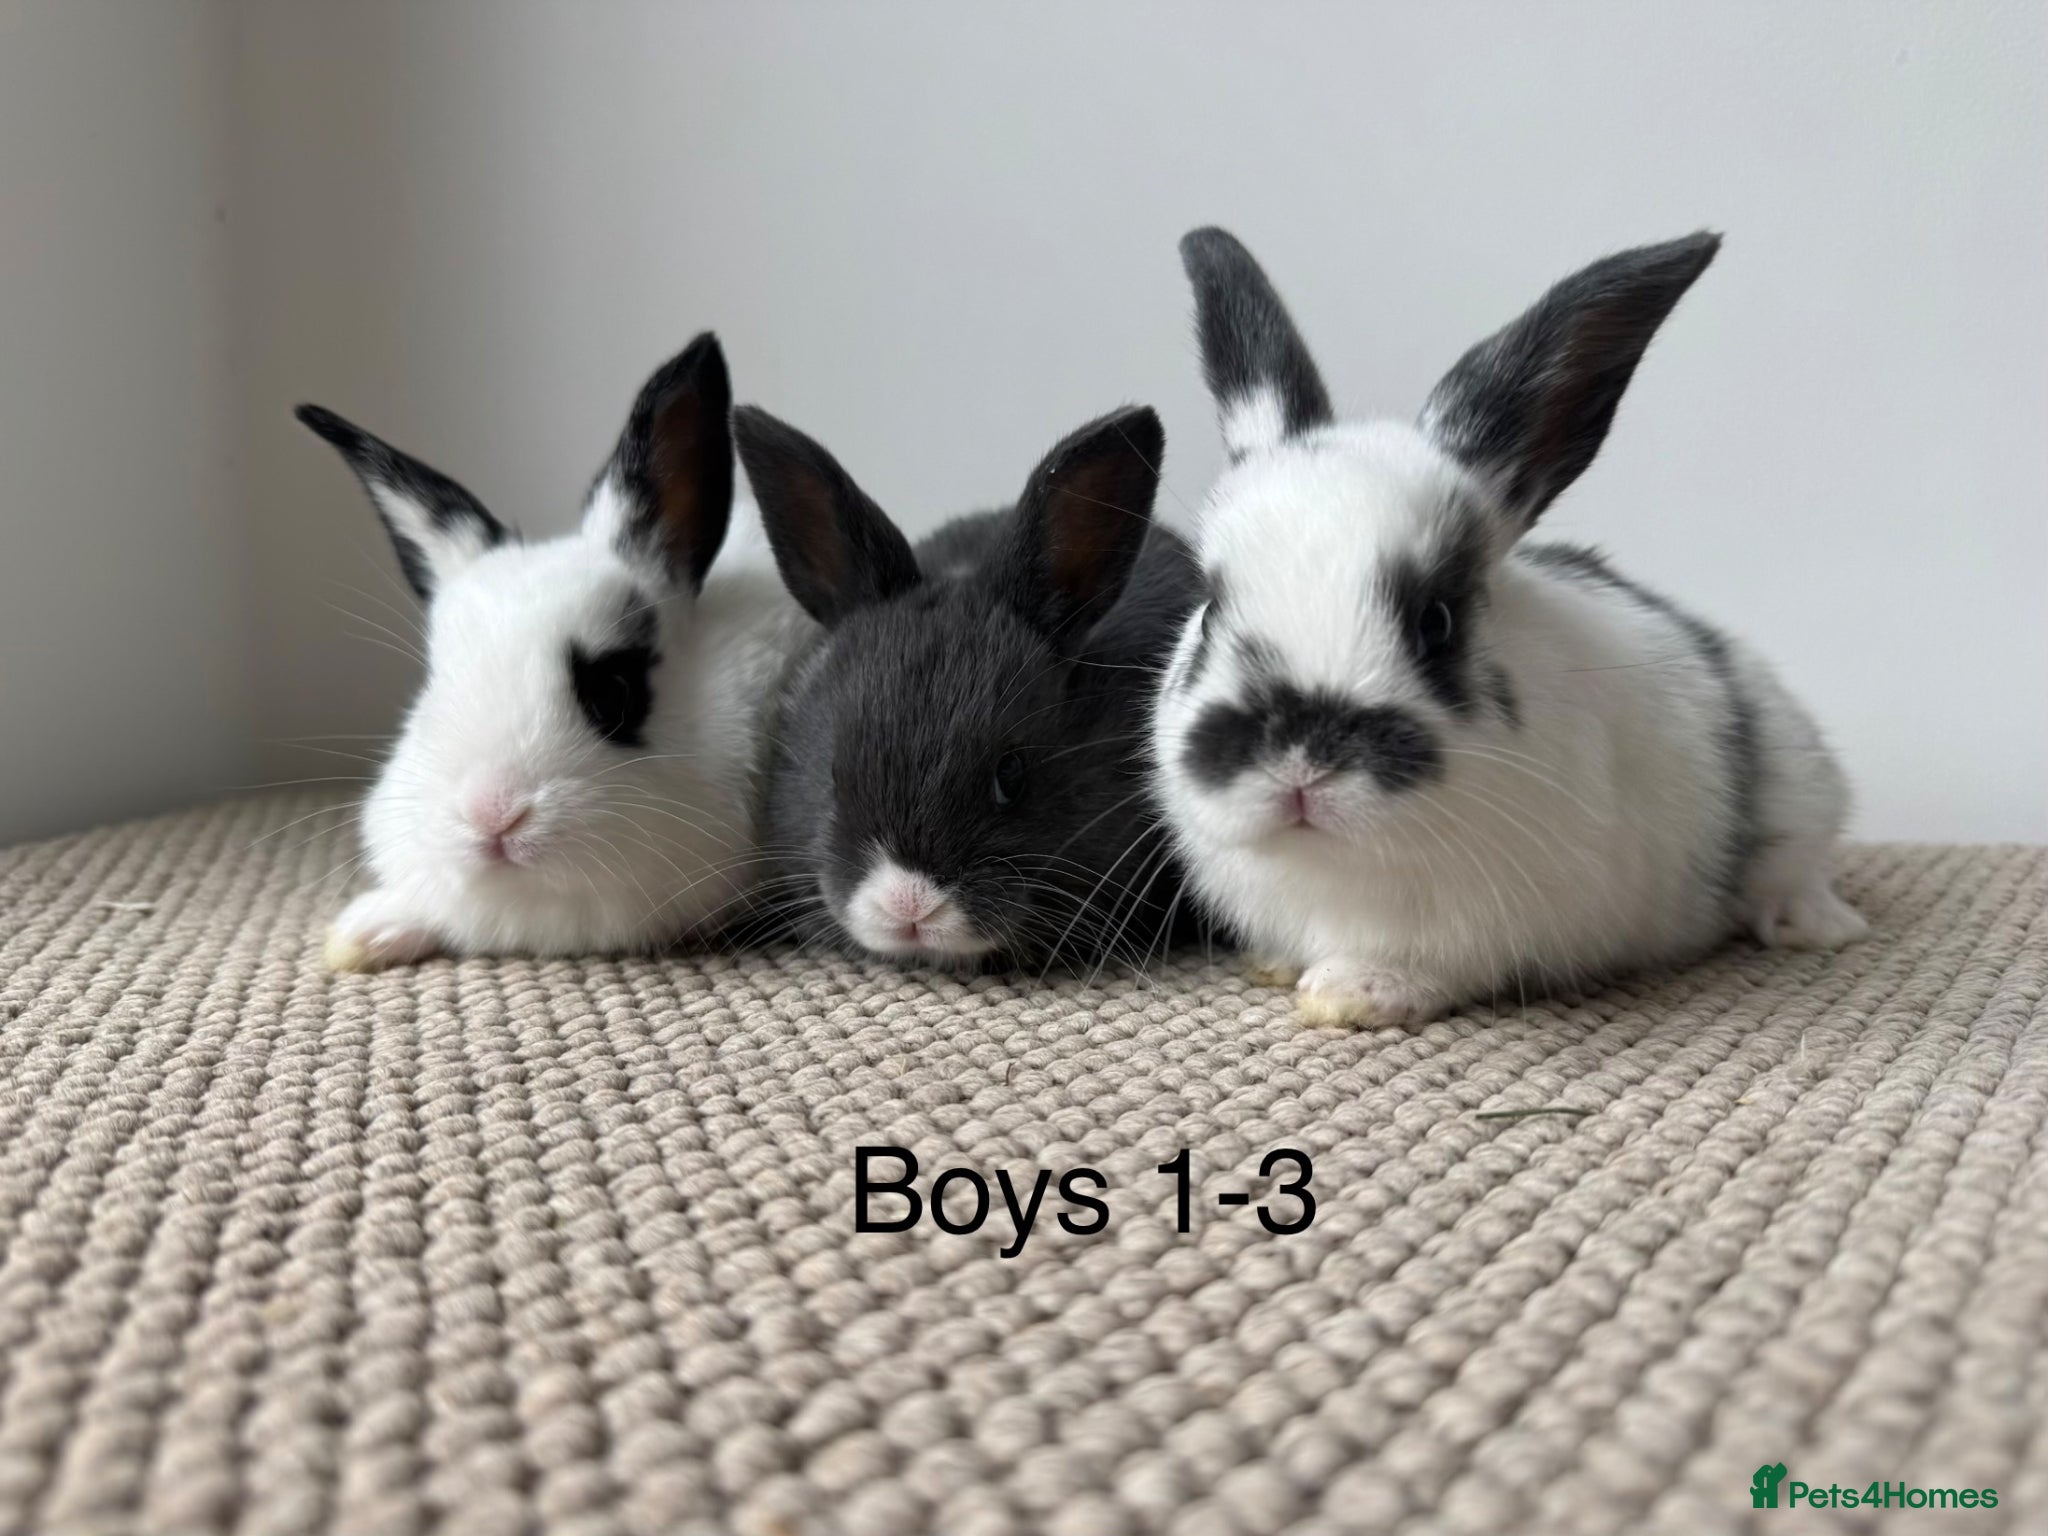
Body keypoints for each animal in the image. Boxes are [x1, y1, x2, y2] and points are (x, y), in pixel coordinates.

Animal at [1151, 227, 1867, 1026]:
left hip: (1804, 789)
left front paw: (1352, 995)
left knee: (1800, 865)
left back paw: (1815, 927)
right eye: (1211, 608)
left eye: (1437, 620)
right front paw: (1279, 967)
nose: (1299, 763)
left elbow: (1425, 969)